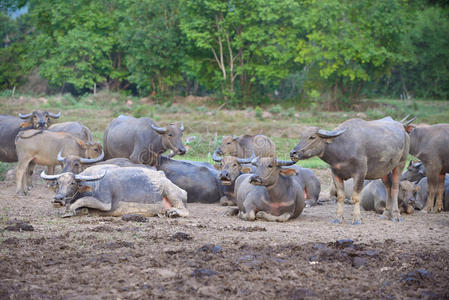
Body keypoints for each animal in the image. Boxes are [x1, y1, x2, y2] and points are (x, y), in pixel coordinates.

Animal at [39, 166, 188, 218]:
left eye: (72, 183)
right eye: (58, 183)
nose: (58, 199)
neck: (93, 184)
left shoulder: (105, 203)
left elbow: (80, 201)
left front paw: (69, 211)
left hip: (171, 191)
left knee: (185, 210)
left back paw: (173, 212)